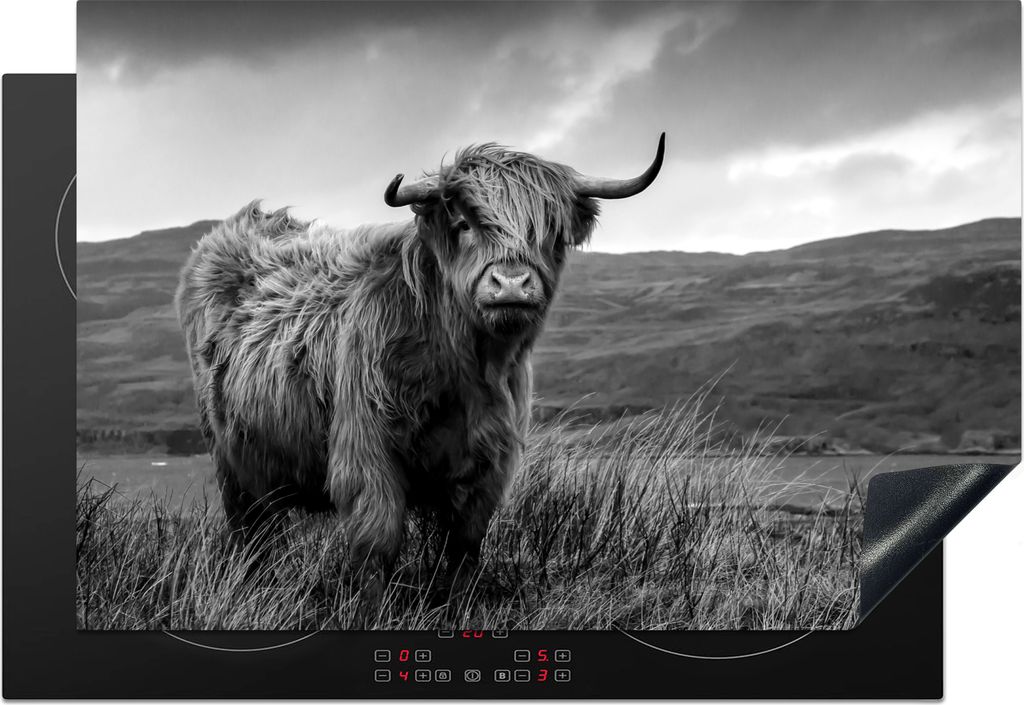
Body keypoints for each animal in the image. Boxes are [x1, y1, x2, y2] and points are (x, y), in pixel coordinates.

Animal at [174, 134, 665, 592]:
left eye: (550, 231)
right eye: (464, 223)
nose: (510, 283)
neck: (466, 371)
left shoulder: (488, 466)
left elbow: (464, 552)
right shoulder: (366, 454)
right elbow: (376, 547)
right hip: (231, 462)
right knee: (251, 534)